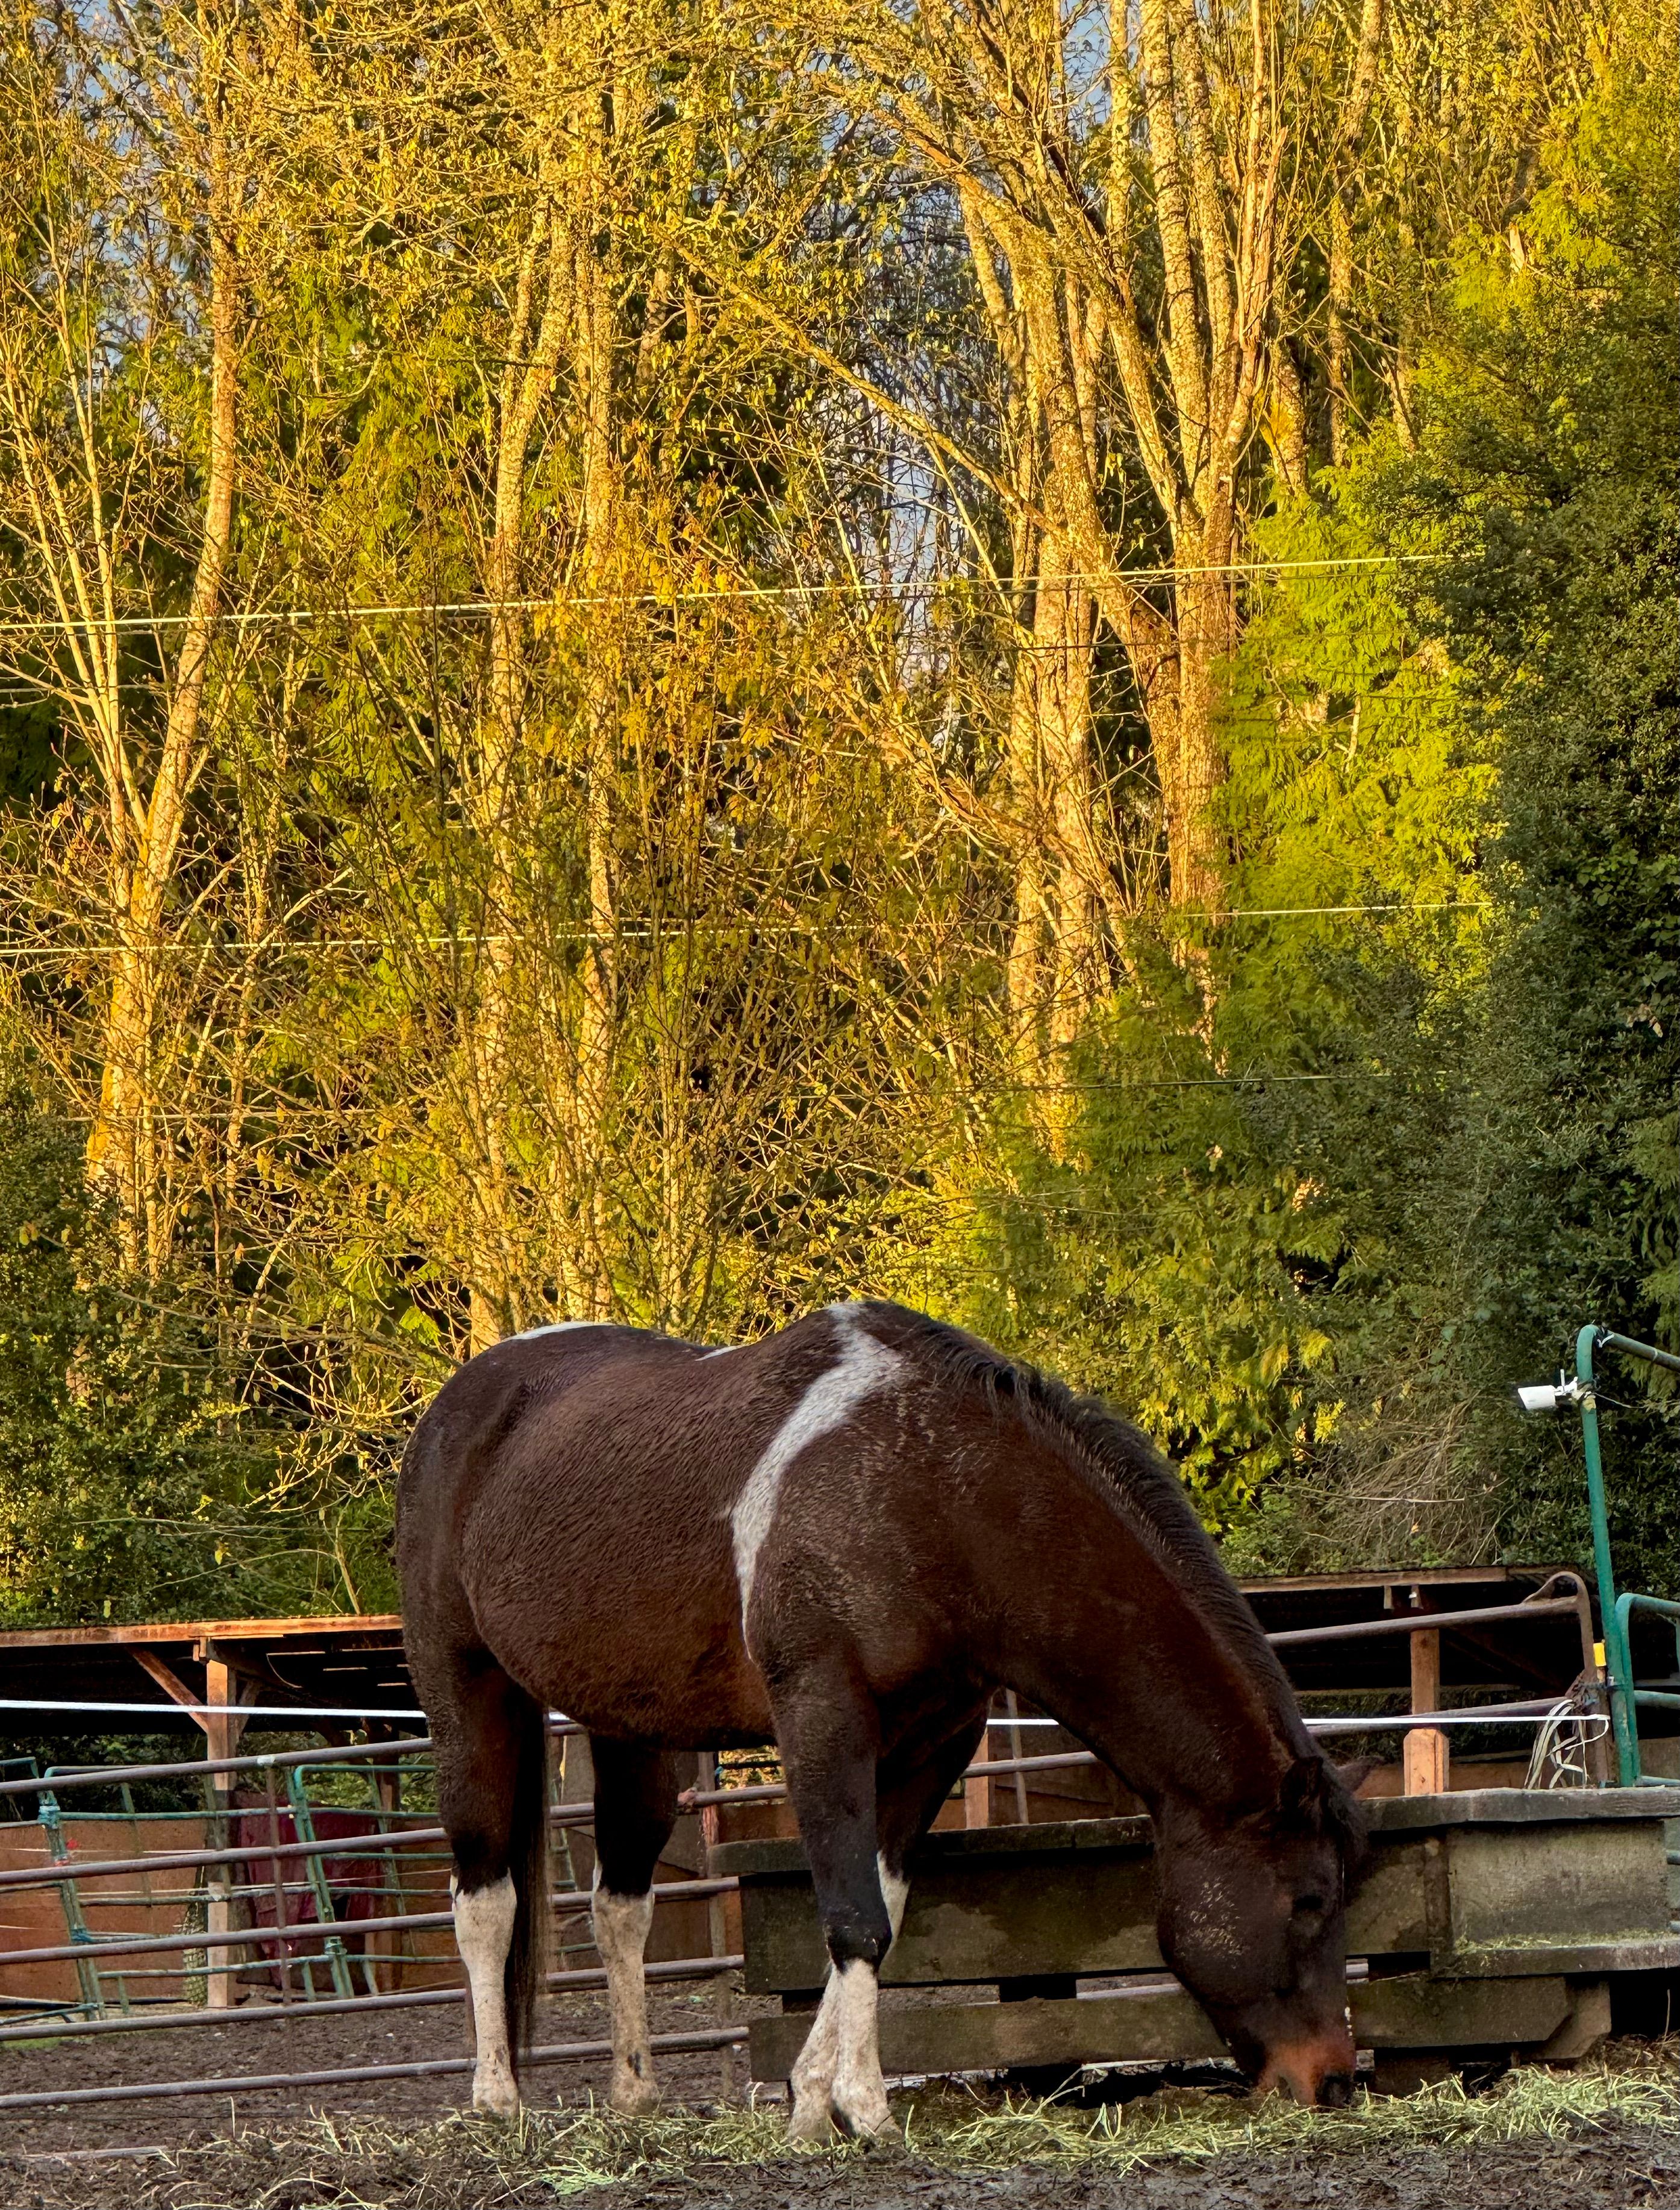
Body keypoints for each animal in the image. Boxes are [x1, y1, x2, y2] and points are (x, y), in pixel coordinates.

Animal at [397, 1300, 1367, 2136]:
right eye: (1310, 1897)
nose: (1331, 2080)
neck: (935, 1492)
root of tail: (464, 1399)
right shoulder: (822, 1719)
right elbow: (852, 1918)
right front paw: (860, 2112)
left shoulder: (935, 1742)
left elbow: (882, 1912)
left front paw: (812, 2096)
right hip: (466, 1691)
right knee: (484, 1897)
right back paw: (496, 2100)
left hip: (631, 1728)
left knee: (618, 1906)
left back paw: (635, 2094)